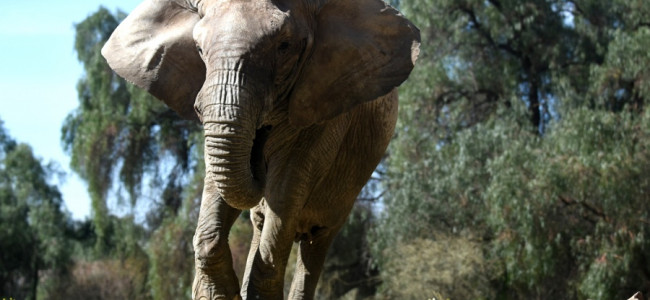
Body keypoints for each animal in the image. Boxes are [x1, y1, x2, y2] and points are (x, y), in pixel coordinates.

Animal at [98, 0, 418, 296]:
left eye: (284, 46)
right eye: (199, 49)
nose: (258, 153)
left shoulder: (324, 107)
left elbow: (285, 187)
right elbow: (217, 184)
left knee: (315, 242)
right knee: (263, 224)